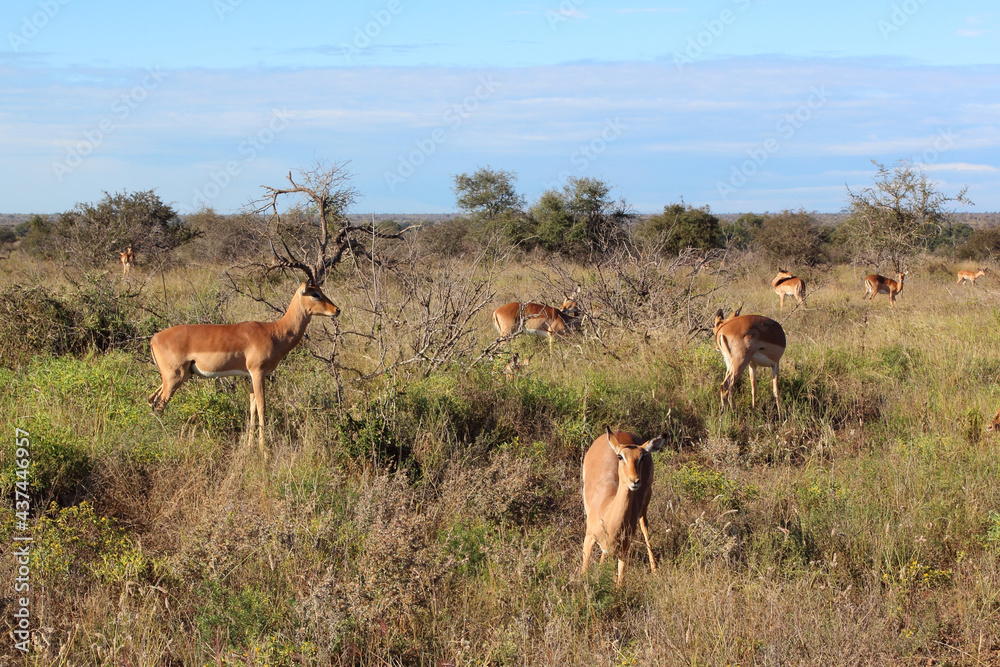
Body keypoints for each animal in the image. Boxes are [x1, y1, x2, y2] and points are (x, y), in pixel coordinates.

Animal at [147, 246, 340, 450]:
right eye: (314, 294)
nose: (337, 310)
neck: (274, 332)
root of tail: (154, 338)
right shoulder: (258, 373)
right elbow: (262, 406)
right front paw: (263, 449)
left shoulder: (249, 376)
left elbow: (252, 407)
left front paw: (249, 446)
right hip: (174, 378)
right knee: (160, 404)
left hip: (176, 377)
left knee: (151, 399)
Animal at [581, 426, 667, 586]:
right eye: (620, 456)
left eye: (642, 457)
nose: (635, 481)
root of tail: (620, 432)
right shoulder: (588, 538)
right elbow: (584, 572)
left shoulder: (624, 548)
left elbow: (620, 583)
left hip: (647, 498)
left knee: (644, 526)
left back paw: (655, 570)